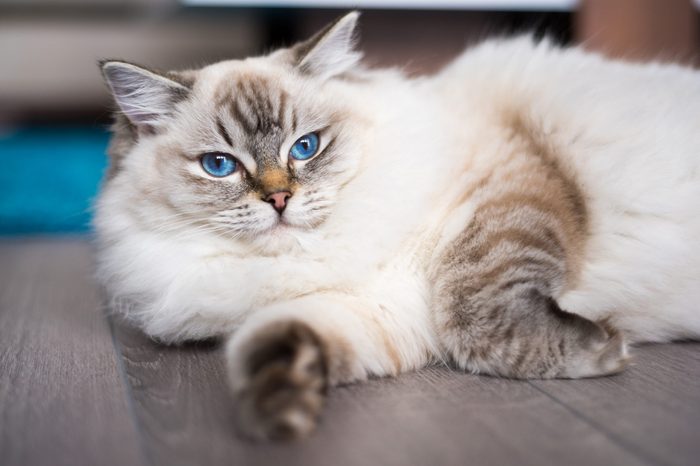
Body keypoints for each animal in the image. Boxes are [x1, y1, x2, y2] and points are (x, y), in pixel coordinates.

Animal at [97, 10, 700, 440]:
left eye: (306, 147)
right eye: (219, 165)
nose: (279, 199)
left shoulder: (498, 198)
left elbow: (473, 312)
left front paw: (603, 351)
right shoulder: (379, 308)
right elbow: (269, 341)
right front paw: (282, 410)